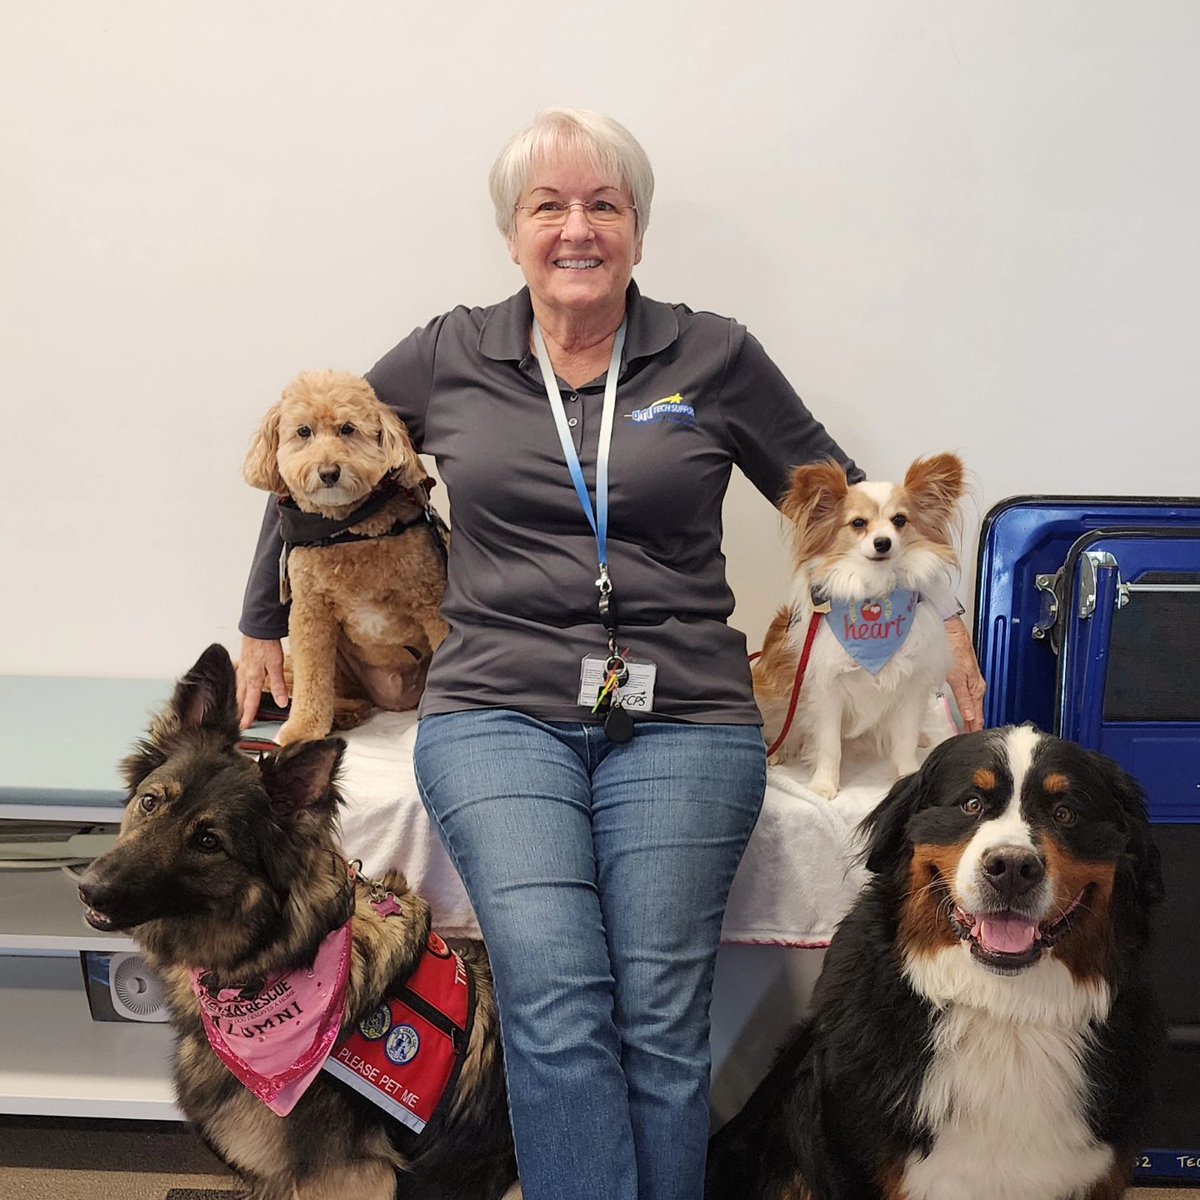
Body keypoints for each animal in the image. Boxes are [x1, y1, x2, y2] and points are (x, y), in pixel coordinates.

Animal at [244, 369, 451, 744]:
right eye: (304, 432)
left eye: (348, 429)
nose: (329, 472)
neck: (347, 530)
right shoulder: (310, 614)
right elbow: (312, 679)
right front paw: (303, 729)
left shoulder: (431, 601)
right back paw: (343, 712)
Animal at [753, 451, 969, 796]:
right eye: (858, 523)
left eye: (900, 520)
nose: (883, 542)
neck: (876, 595)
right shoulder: (826, 686)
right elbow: (829, 744)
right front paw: (824, 785)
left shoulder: (911, 687)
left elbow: (904, 738)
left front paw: (907, 774)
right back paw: (781, 750)